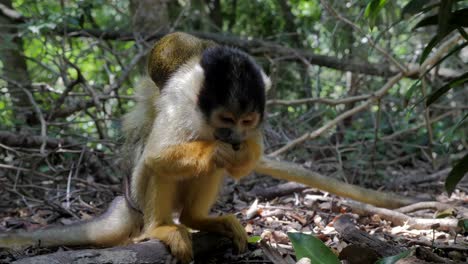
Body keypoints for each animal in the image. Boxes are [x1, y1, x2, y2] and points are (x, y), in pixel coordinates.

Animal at [0, 32, 270, 262]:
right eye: (226, 119)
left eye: (247, 121)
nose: (235, 138)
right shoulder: (180, 101)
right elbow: (157, 155)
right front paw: (217, 149)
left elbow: (242, 165)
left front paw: (240, 153)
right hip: (138, 196)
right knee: (155, 166)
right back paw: (159, 227)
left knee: (207, 169)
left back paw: (195, 218)